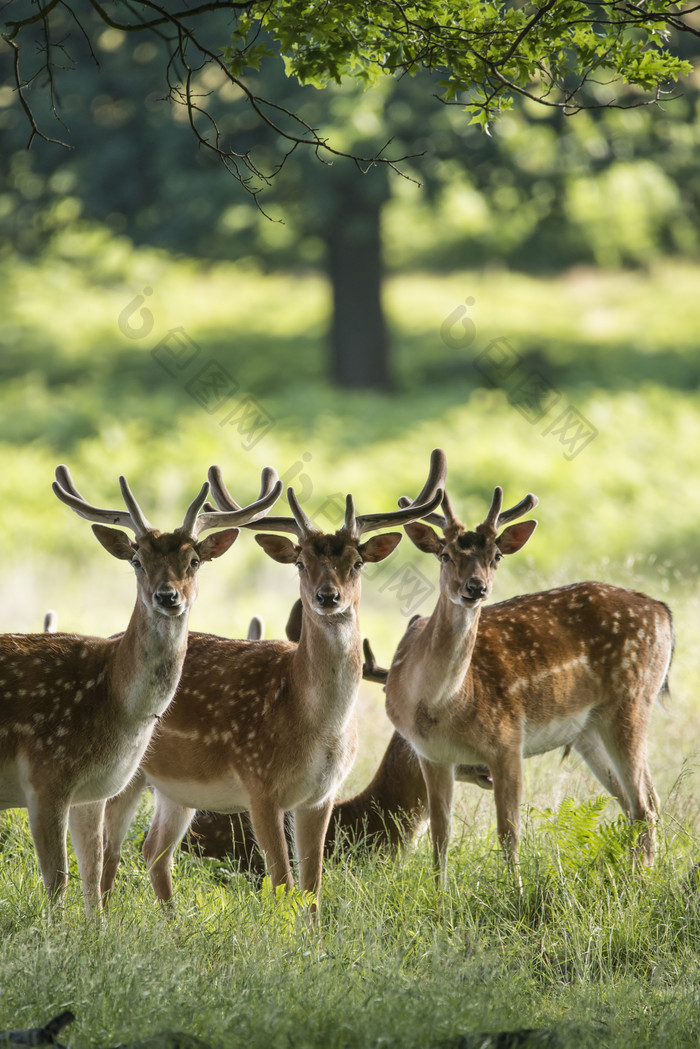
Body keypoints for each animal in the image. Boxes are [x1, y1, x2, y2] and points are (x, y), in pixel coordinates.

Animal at [0, 463, 279, 914]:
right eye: (136, 560)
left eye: (194, 560)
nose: (167, 596)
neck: (109, 698)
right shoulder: (45, 775)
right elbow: (57, 881)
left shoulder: (91, 791)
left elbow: (92, 874)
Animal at [100, 451, 447, 910]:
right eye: (301, 562)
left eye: (357, 563)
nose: (327, 596)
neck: (314, 725)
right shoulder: (259, 785)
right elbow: (283, 883)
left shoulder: (321, 796)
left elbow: (312, 887)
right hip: (128, 771)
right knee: (110, 846)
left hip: (177, 789)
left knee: (154, 850)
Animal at [384, 482, 671, 885]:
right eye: (445, 554)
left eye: (497, 555)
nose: (476, 587)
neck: (442, 704)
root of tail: (663, 612)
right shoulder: (431, 754)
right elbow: (440, 834)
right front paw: (440, 894)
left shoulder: (507, 739)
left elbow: (509, 831)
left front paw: (515, 891)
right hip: (590, 730)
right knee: (636, 803)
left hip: (632, 701)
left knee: (645, 804)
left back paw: (640, 882)